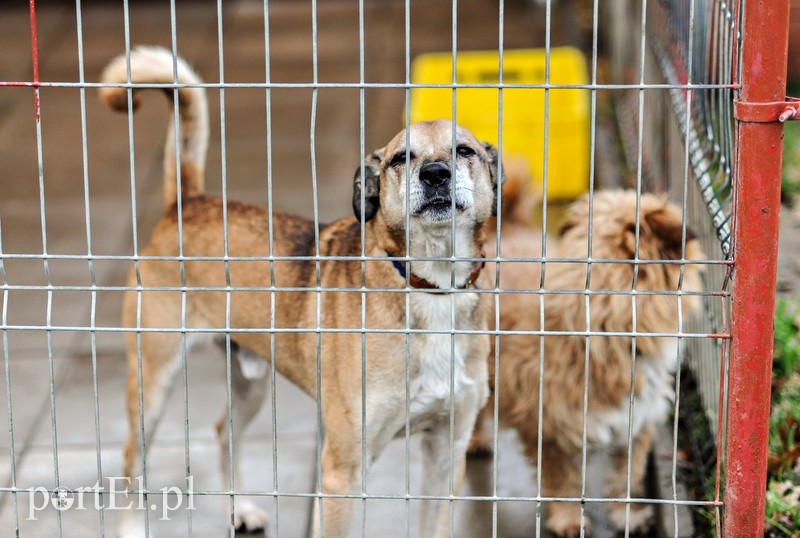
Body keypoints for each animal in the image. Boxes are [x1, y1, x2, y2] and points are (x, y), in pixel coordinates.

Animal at [100, 46, 500, 536]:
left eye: (464, 151)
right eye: (400, 159)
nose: (436, 174)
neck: (430, 288)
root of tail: (187, 202)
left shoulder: (446, 454)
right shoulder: (343, 472)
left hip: (249, 380)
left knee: (223, 431)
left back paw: (239, 508)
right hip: (151, 381)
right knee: (131, 457)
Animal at [478, 183, 704, 532]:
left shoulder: (637, 424)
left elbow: (626, 476)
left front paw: (627, 515)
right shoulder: (547, 430)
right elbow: (563, 480)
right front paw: (569, 519)